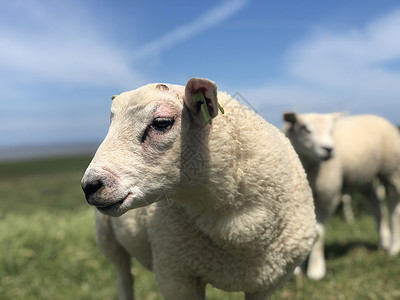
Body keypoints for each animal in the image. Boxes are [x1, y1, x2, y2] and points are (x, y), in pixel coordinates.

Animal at [80, 78, 316, 300]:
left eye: (162, 123)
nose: (89, 186)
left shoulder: (266, 284)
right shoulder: (175, 276)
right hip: (108, 238)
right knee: (123, 278)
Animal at [282, 111, 400, 280]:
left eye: (331, 129)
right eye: (304, 128)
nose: (328, 149)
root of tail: (378, 117)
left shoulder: (327, 194)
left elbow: (318, 231)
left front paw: (316, 270)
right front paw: (296, 269)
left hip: (391, 170)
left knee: (394, 207)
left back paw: (394, 247)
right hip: (363, 179)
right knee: (376, 205)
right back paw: (382, 242)